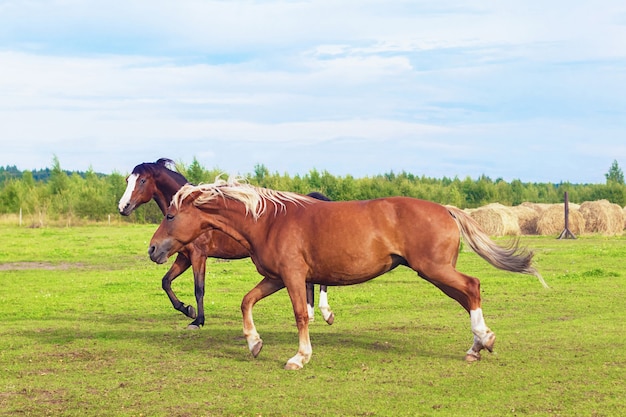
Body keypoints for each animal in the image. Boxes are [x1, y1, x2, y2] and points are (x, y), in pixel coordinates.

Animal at [117, 159, 332, 328]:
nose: (123, 207)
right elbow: (166, 282)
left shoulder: (198, 256)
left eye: (142, 180)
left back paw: (325, 313)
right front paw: (187, 309)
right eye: (128, 180)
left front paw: (198, 320)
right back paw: (313, 314)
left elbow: (199, 288)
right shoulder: (184, 257)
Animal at [149, 178, 544, 368]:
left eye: (169, 215)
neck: (269, 220)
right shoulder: (275, 277)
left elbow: (301, 314)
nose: (153, 249)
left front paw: (299, 357)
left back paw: (485, 340)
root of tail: (445, 209)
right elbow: (247, 301)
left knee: (472, 287)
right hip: (434, 272)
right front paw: (254, 343)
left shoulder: (293, 276)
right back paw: (476, 347)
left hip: (434, 269)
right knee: (466, 296)